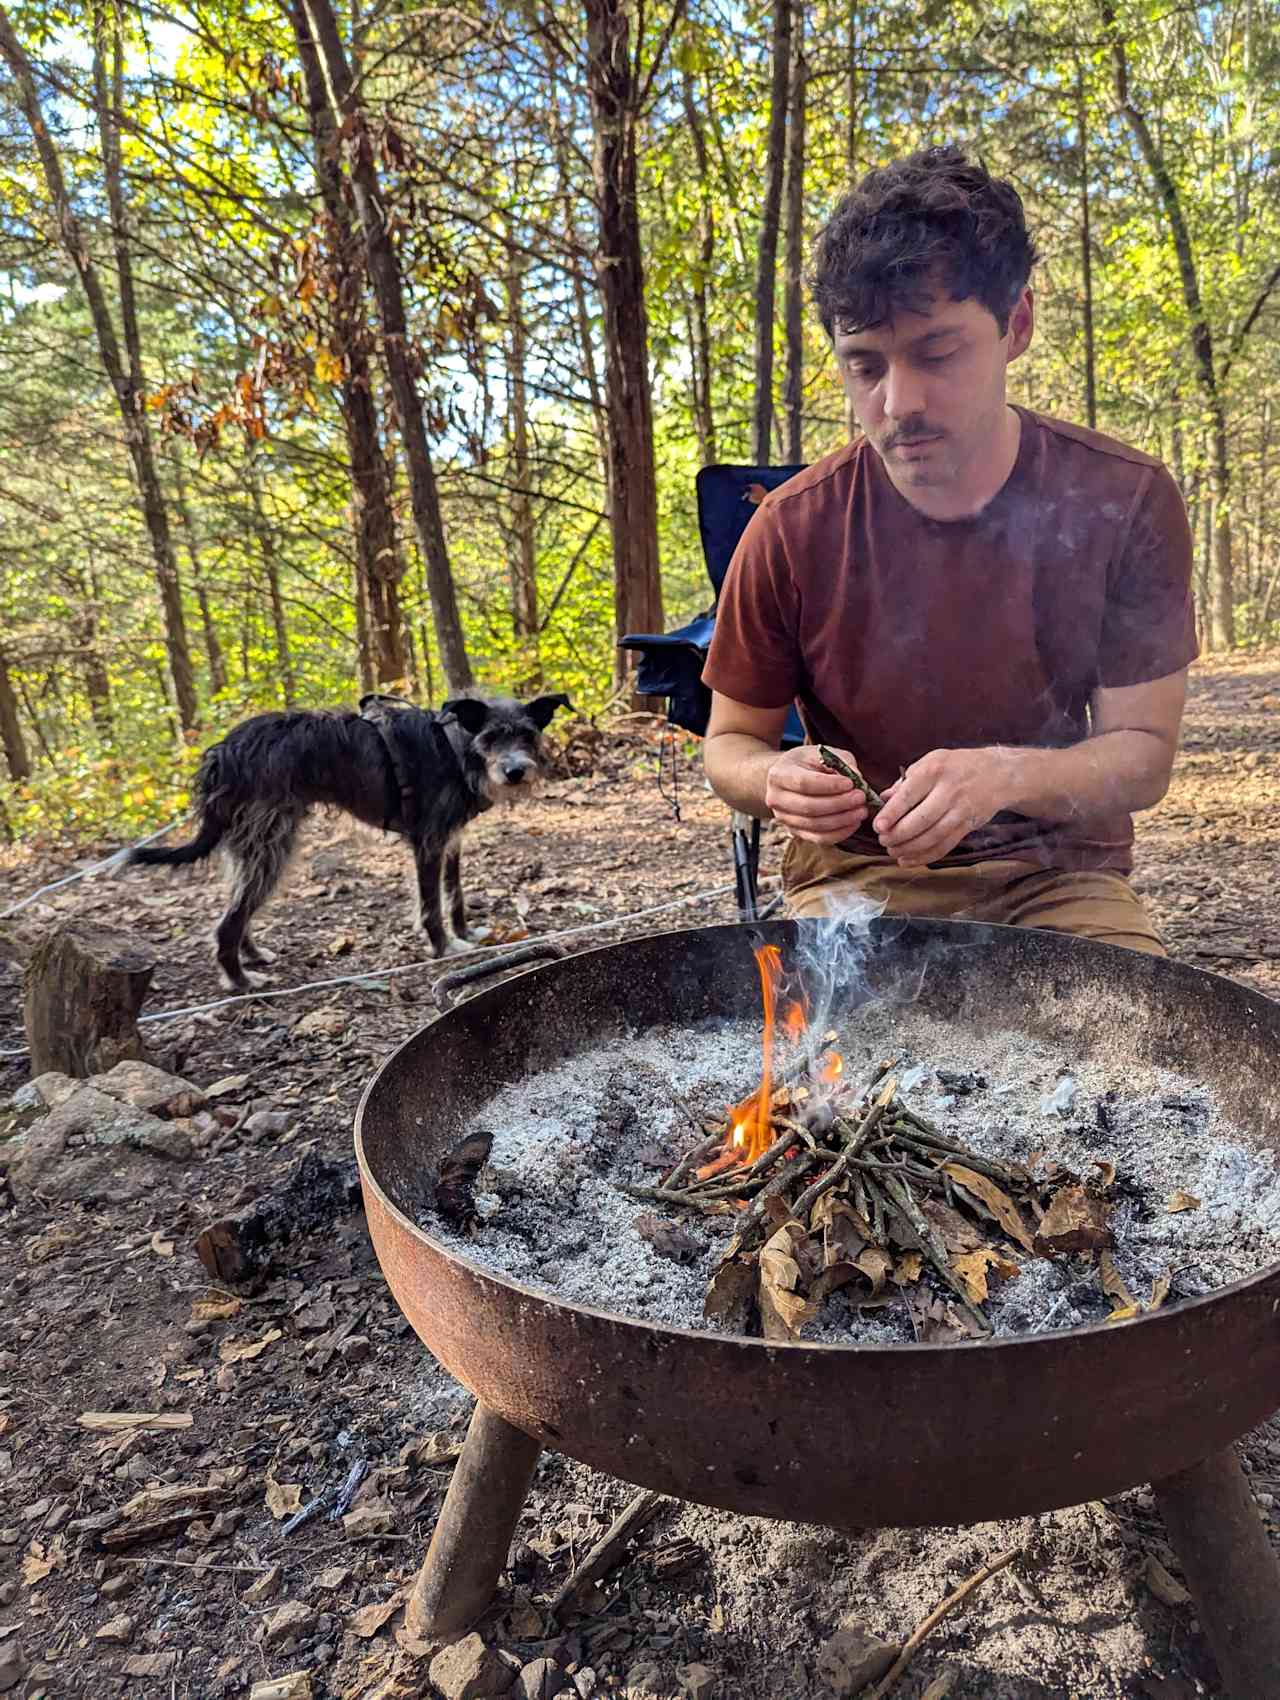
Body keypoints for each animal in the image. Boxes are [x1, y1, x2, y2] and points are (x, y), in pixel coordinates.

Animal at [123, 686, 567, 986]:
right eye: (490, 737)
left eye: (527, 735)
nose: (515, 772)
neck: (456, 748)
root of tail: (223, 751)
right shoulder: (428, 842)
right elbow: (431, 905)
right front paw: (444, 948)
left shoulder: (451, 841)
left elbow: (454, 894)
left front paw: (466, 933)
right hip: (271, 845)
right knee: (228, 921)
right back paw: (240, 980)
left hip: (251, 846)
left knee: (239, 909)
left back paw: (252, 956)